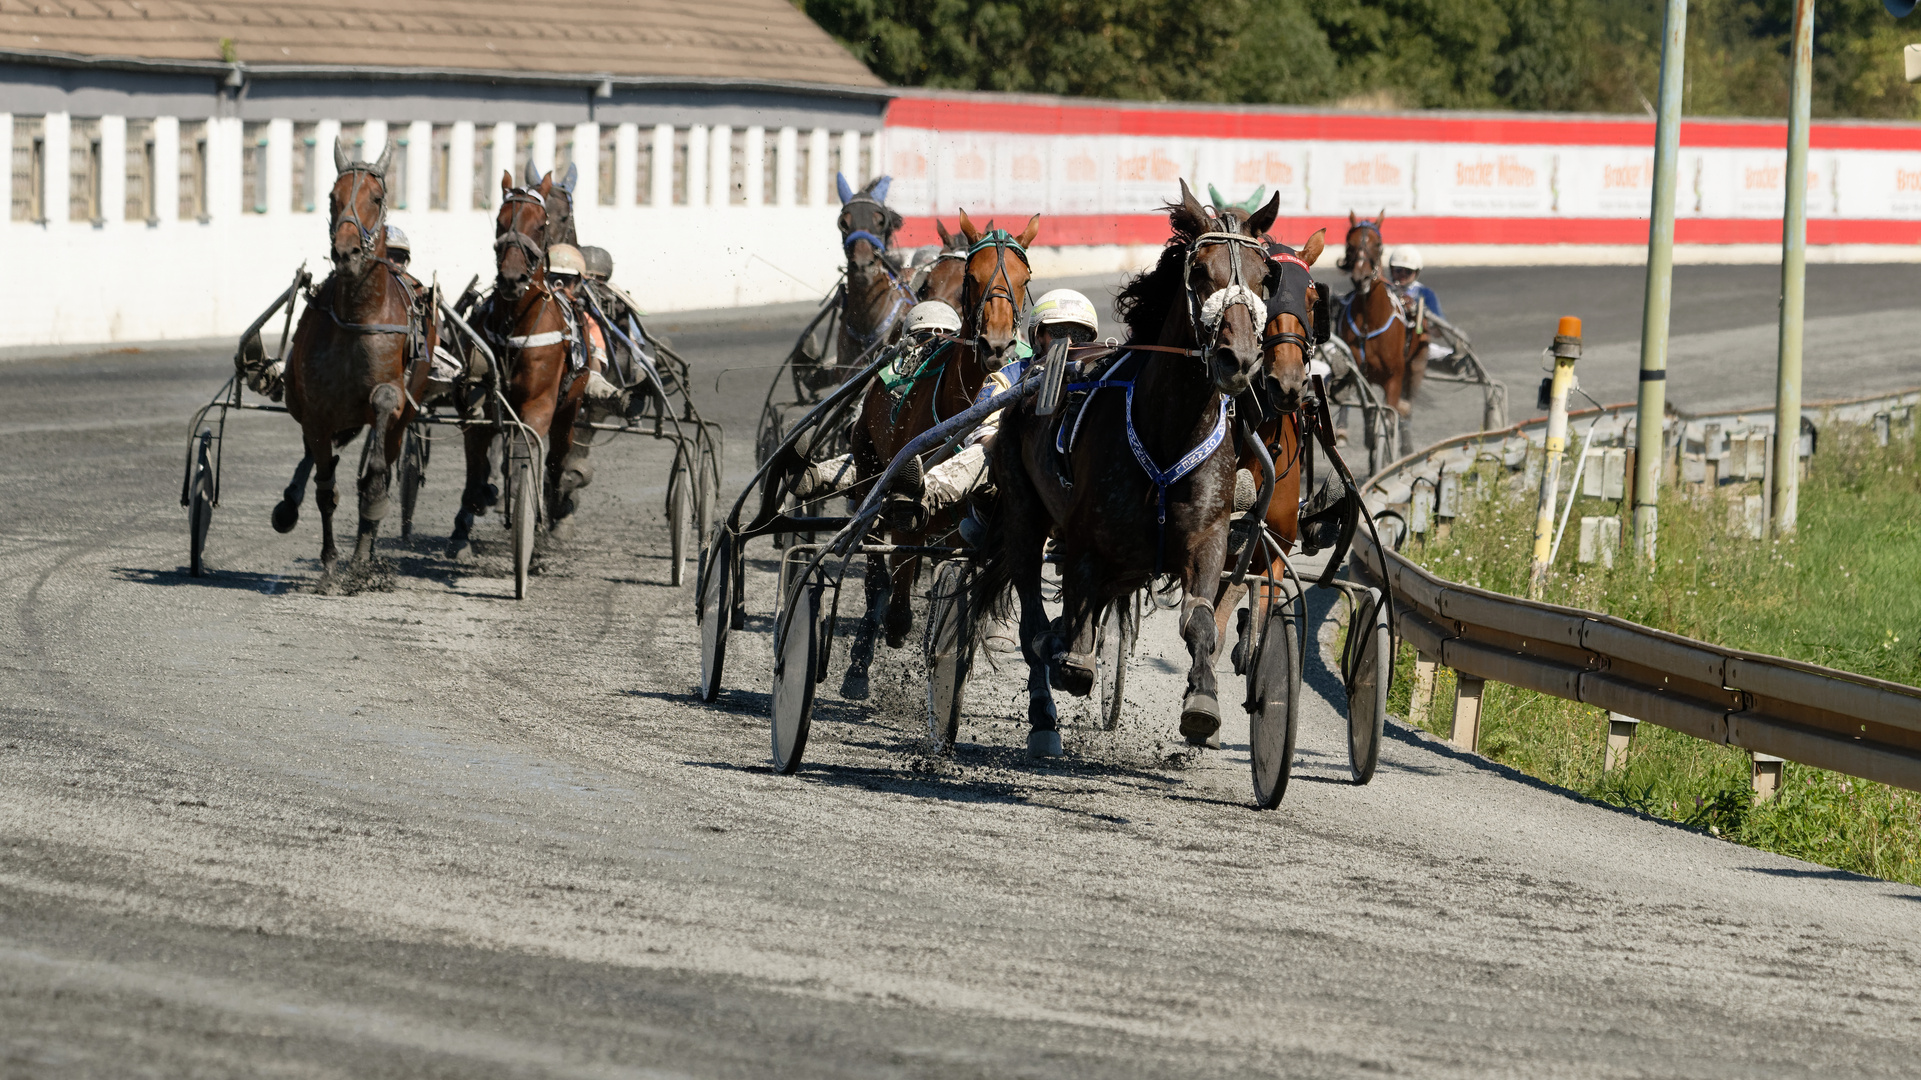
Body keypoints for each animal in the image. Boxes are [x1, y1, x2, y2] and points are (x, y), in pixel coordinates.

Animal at [274, 143, 424, 572]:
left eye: (376, 197)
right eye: (332, 197)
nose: (345, 252)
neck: (358, 316)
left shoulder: (391, 395)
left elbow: (374, 477)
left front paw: (359, 561)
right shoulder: (318, 413)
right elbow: (325, 485)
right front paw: (328, 563)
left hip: (400, 422)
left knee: (383, 465)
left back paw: (366, 550)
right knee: (315, 459)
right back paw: (290, 503)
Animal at [445, 171, 587, 557]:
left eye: (540, 225)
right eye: (500, 220)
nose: (511, 278)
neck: (515, 326)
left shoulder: (539, 405)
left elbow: (534, 455)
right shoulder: (479, 402)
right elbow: (476, 462)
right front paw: (468, 516)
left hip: (570, 407)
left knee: (557, 458)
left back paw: (554, 510)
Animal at [841, 211, 1037, 699]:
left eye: (1024, 278)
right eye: (974, 275)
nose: (997, 346)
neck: (962, 407)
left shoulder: (968, 524)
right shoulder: (906, 510)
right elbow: (897, 576)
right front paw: (894, 627)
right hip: (867, 462)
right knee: (875, 565)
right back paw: (861, 659)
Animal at [983, 180, 1283, 753]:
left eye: (1265, 276)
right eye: (1199, 271)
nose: (1239, 360)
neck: (1167, 433)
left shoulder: (1208, 537)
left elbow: (1200, 622)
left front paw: (1202, 704)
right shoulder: (1086, 535)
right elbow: (1069, 636)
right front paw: (1071, 656)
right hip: (1022, 510)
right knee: (1032, 611)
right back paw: (1043, 711)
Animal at [1337, 210, 1429, 441]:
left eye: (1377, 244)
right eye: (1349, 244)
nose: (1362, 278)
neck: (1369, 322)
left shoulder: (1395, 378)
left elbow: (1390, 416)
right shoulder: (1364, 376)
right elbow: (1370, 412)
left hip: (1417, 362)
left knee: (1407, 403)